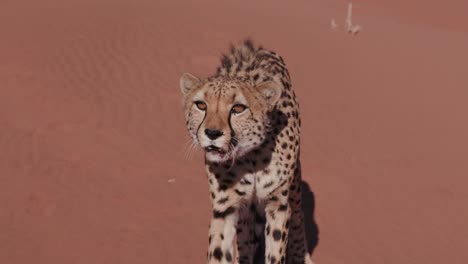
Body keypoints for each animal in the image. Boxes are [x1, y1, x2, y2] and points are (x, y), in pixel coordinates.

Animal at [181, 39, 312, 264]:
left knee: (298, 217)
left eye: (238, 108)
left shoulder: (277, 204)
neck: (251, 157)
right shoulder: (225, 207)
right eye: (200, 105)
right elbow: (219, 250)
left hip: (293, 189)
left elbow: (276, 249)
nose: (212, 133)